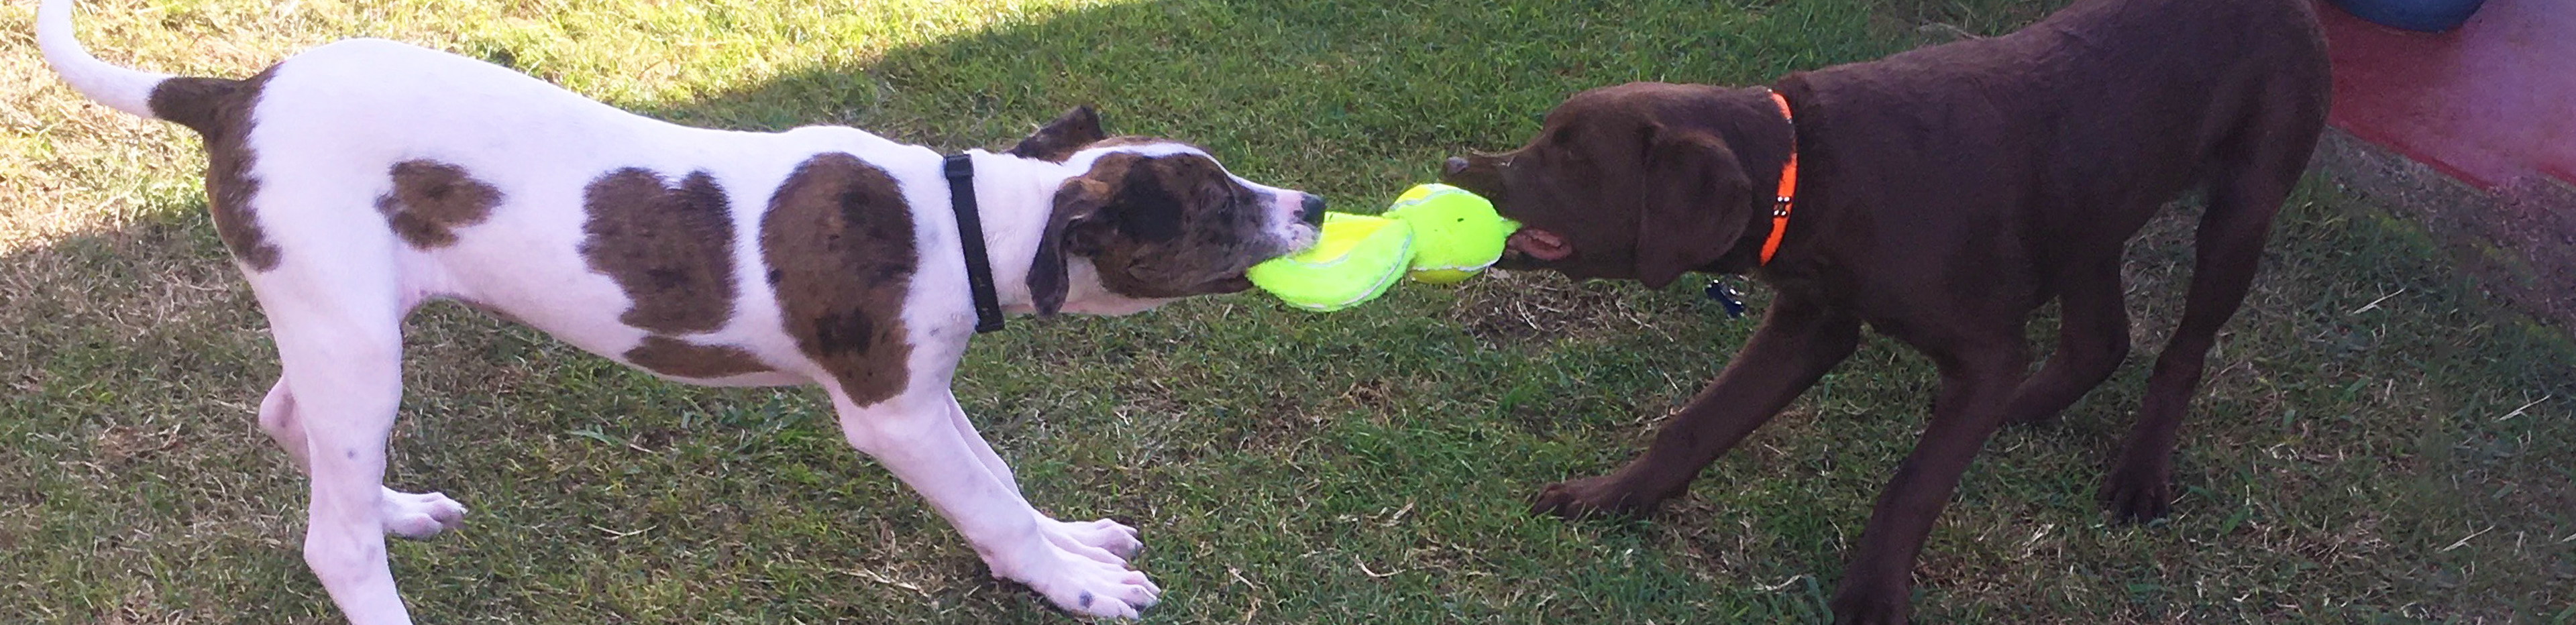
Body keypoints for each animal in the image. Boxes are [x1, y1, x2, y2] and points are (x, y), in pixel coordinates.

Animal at [35, 0, 1329, 617]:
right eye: (1217, 210)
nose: (1314, 204)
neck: (972, 218)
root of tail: (234, 95)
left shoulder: (923, 391)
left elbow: (1001, 479)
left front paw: (1074, 541)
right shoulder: (890, 417)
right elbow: (990, 507)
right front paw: (1073, 586)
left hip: (338, 317)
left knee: (290, 424)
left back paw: (398, 508)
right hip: (355, 340)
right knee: (331, 538)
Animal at [1452, 0, 2339, 620]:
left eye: (1569, 156)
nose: (1461, 163)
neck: (1810, 172)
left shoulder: (1984, 351)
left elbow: (1913, 483)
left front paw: (1872, 596)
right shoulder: (1811, 321)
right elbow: (1696, 423)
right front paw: (1608, 497)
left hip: (2242, 205)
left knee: (2181, 348)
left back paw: (2140, 474)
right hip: (2091, 210)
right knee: (2101, 338)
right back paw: (2022, 413)